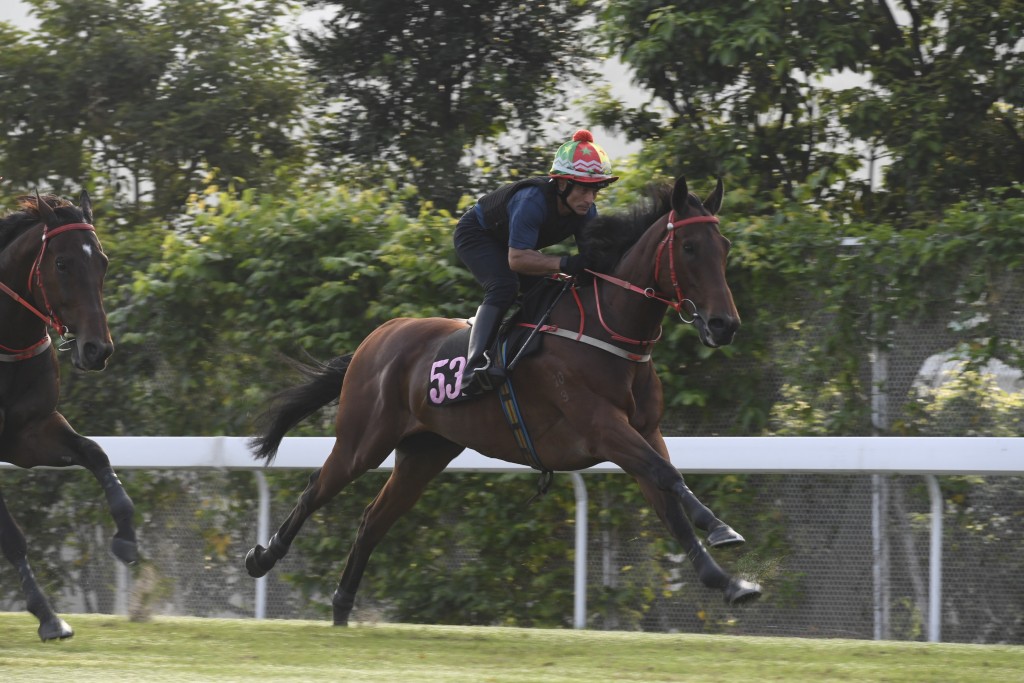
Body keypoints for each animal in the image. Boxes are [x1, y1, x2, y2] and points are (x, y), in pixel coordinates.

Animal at [0, 192, 137, 643]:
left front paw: (127, 538)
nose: (97, 349)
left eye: (103, 261)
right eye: (61, 263)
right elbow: (13, 538)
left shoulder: (27, 436)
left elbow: (95, 454)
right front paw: (49, 616)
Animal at [245, 176, 761, 626]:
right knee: (316, 489)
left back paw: (340, 608)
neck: (608, 331)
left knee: (373, 520)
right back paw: (262, 558)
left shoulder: (645, 432)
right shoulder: (603, 428)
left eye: (724, 247)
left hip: (424, 452)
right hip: (362, 441)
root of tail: (376, 337)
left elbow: (668, 499)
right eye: (689, 248)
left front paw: (728, 580)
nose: (724, 325)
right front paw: (722, 530)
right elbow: (668, 476)